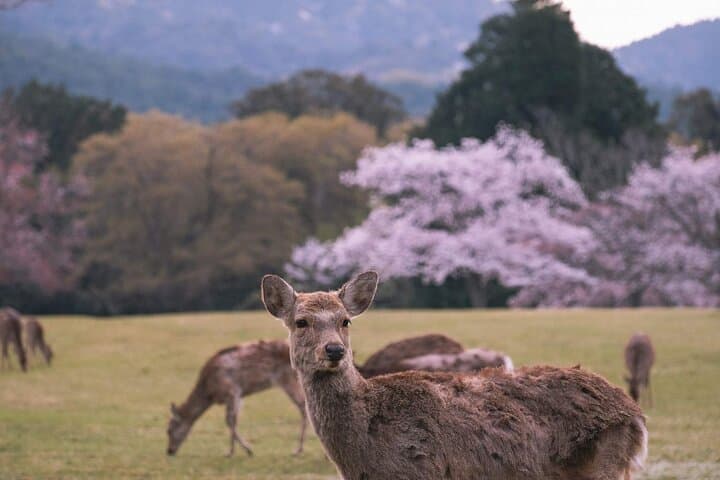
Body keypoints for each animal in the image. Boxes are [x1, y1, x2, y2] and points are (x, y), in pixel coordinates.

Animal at [167, 339, 307, 457]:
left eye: (169, 429)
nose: (169, 451)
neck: (209, 393)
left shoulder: (232, 391)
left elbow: (229, 421)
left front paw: (239, 451)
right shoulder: (239, 396)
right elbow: (234, 420)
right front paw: (236, 450)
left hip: (288, 379)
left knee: (303, 407)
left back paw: (298, 450)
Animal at [262, 271, 648, 480]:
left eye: (345, 321)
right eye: (301, 322)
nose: (334, 351)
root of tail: (634, 413)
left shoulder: (422, 469)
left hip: (605, 461)